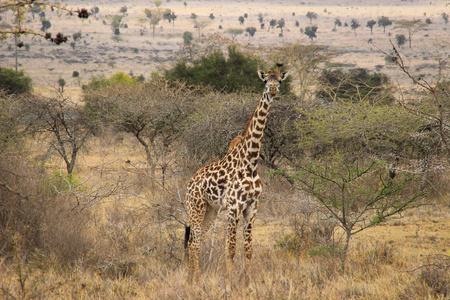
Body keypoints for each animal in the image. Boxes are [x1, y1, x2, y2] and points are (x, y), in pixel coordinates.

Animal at [185, 62, 288, 282]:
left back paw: (191, 277)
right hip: (195, 207)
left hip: (211, 210)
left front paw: (246, 282)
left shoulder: (252, 208)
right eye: (265, 81)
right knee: (194, 241)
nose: (273, 90)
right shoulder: (233, 208)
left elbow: (248, 249)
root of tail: (189, 182)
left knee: (196, 240)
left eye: (280, 81)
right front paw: (229, 281)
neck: (250, 163)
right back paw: (195, 279)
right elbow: (230, 248)